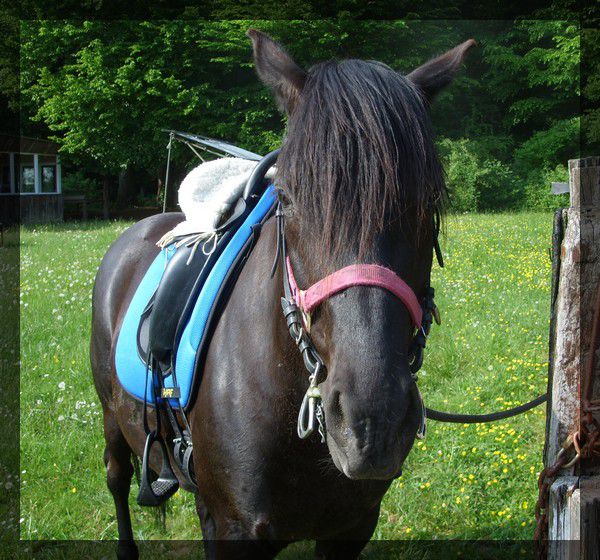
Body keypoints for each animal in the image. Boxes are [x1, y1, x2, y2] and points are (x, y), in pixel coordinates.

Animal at [91, 29, 474, 559]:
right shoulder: (230, 531)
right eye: (287, 200)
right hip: (111, 414)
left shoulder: (350, 528)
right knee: (116, 476)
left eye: (429, 204)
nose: (371, 423)